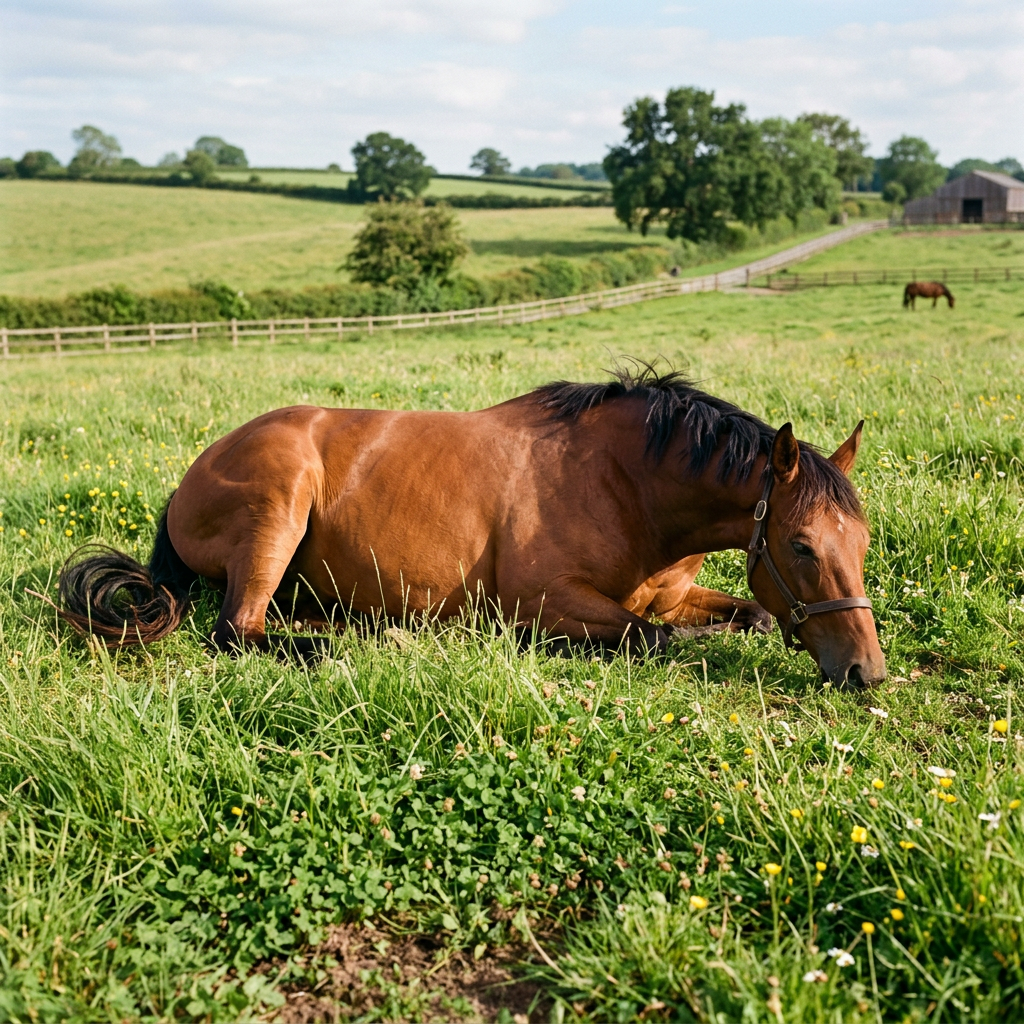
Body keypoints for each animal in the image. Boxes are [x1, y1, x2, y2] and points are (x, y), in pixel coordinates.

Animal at [59, 368, 886, 687]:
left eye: (862, 543)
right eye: (802, 545)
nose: (866, 672)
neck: (627, 484)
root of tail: (189, 477)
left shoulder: (675, 595)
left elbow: (747, 614)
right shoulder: (544, 598)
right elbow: (647, 638)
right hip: (279, 503)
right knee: (238, 629)